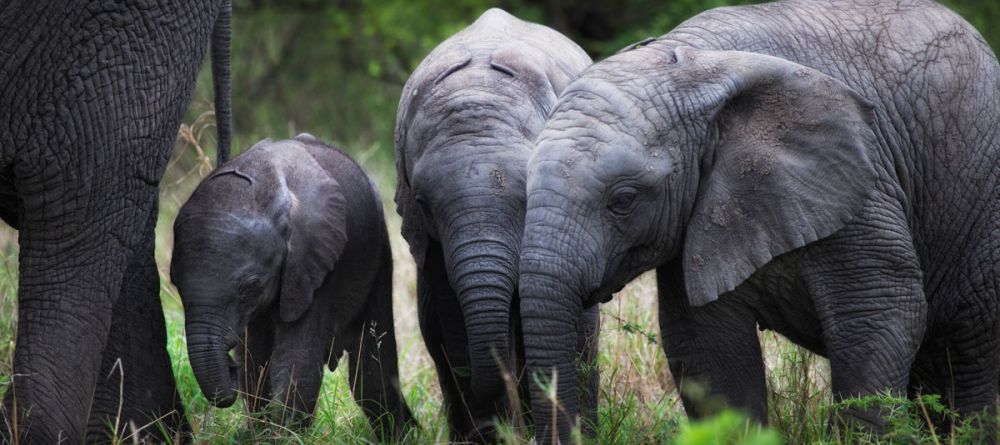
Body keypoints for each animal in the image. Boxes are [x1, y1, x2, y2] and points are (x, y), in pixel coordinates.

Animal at [170, 134, 412, 438]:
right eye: (174, 283)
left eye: (250, 285)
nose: (229, 366)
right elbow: (256, 361)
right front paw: (260, 436)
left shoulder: (313, 262)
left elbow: (297, 363)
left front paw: (285, 437)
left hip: (377, 250)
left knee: (371, 374)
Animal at [520, 0, 1000, 440]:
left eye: (623, 200)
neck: (695, 69)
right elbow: (708, 350)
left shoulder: (863, 185)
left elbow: (879, 317)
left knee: (973, 347)